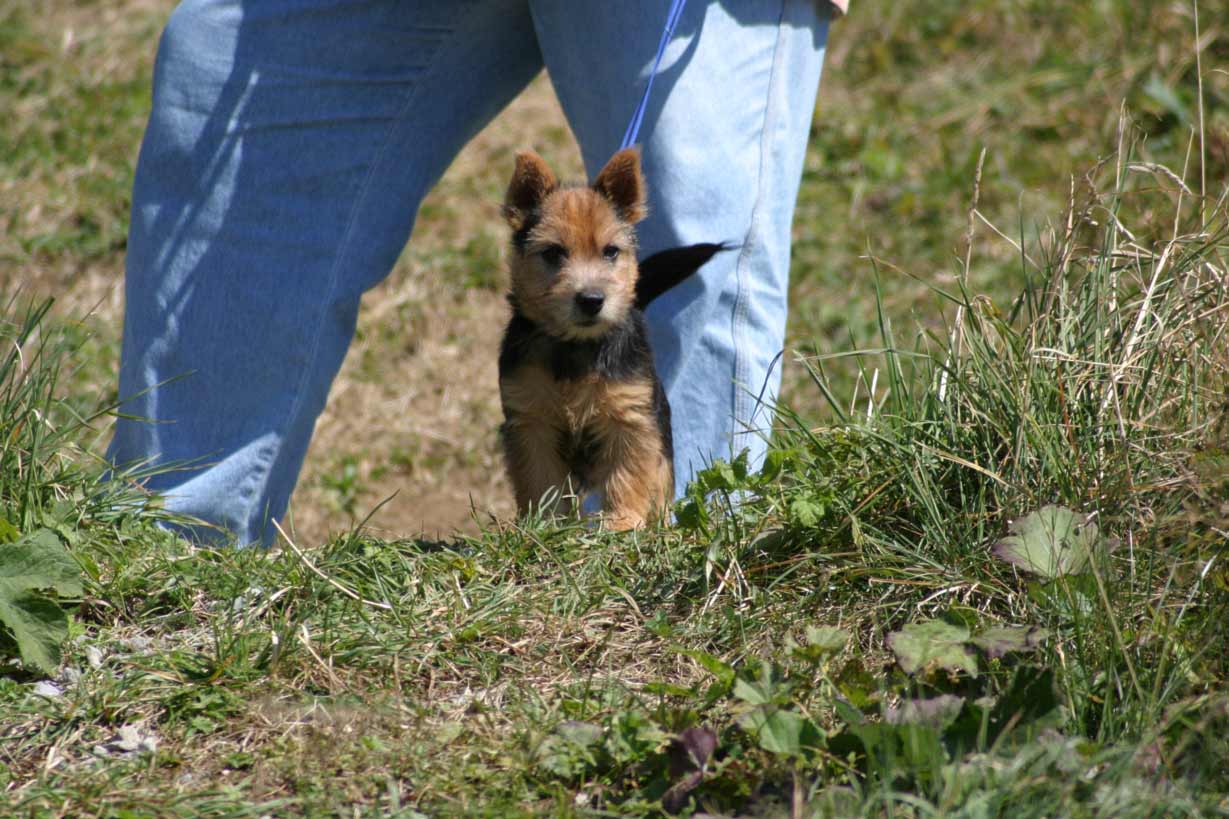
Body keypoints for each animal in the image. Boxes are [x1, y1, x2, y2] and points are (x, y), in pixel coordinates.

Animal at [496, 146, 717, 528]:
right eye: (553, 253)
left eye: (611, 251)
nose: (591, 299)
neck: (574, 347)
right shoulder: (531, 421)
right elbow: (540, 479)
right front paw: (544, 522)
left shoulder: (628, 418)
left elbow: (627, 473)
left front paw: (623, 522)